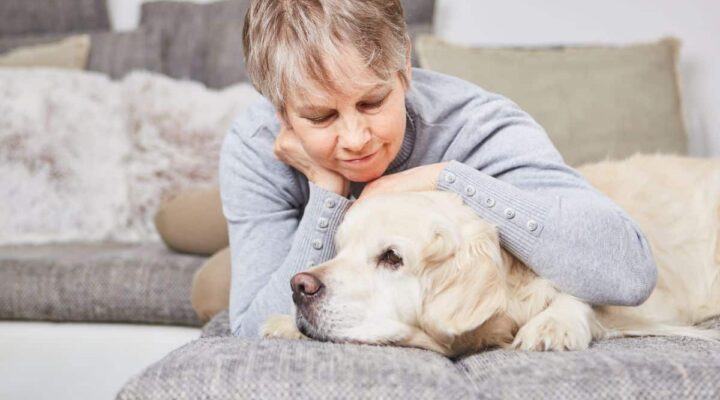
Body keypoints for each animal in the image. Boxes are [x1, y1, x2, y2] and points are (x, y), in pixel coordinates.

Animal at [262, 155, 720, 358]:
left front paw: (553, 324)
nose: (299, 287)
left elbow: (579, 297)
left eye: (391, 257)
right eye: (341, 248)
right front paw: (283, 323)